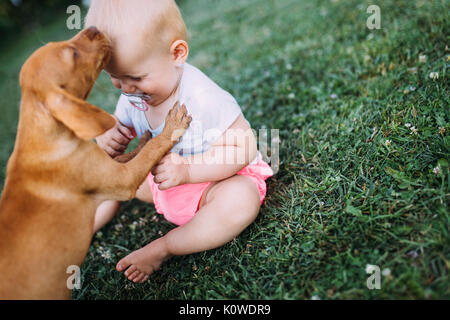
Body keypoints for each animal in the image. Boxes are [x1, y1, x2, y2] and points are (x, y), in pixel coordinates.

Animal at [0, 27, 192, 300]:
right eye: (73, 53)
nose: (93, 29)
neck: (42, 137)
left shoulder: (110, 167)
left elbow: (130, 153)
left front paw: (140, 138)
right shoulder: (123, 180)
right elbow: (150, 151)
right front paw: (169, 129)